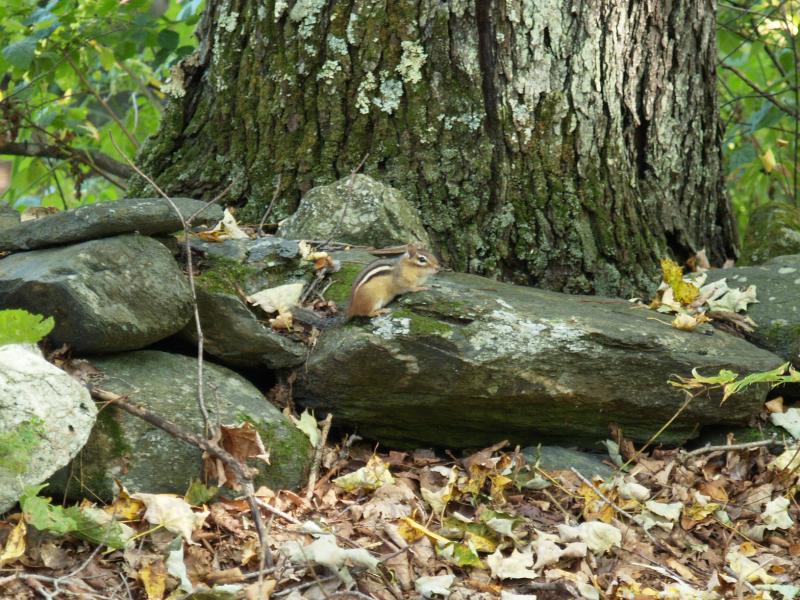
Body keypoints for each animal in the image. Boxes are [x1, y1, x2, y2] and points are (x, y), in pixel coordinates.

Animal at [292, 244, 440, 328]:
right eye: (422, 259)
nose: (438, 268)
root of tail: (351, 309)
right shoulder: (402, 281)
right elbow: (410, 288)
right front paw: (421, 288)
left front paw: (431, 284)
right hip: (374, 299)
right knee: (367, 313)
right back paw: (381, 311)